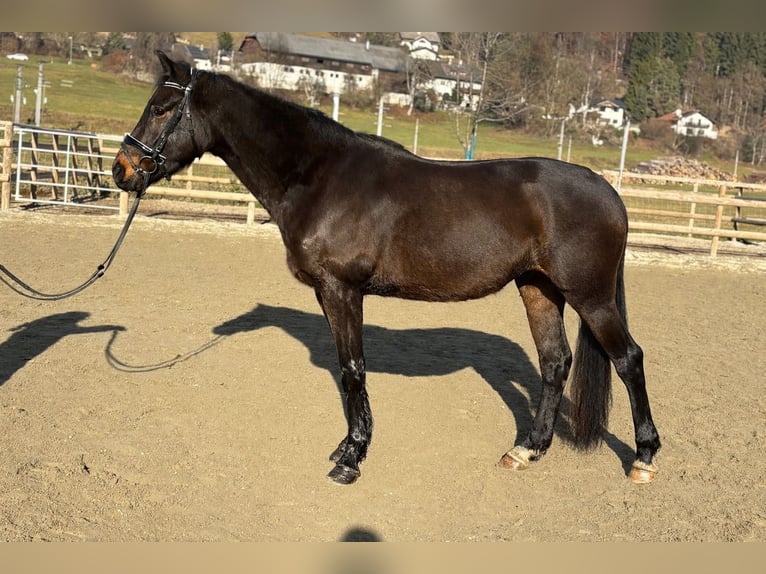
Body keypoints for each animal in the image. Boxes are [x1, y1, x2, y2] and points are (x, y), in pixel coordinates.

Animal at [112, 51, 661, 486]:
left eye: (161, 108)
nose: (121, 170)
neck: (319, 176)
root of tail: (609, 192)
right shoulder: (328, 292)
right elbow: (346, 369)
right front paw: (348, 446)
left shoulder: (342, 289)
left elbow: (354, 369)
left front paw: (351, 459)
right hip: (538, 288)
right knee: (554, 363)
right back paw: (526, 450)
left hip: (591, 297)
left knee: (628, 359)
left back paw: (644, 458)